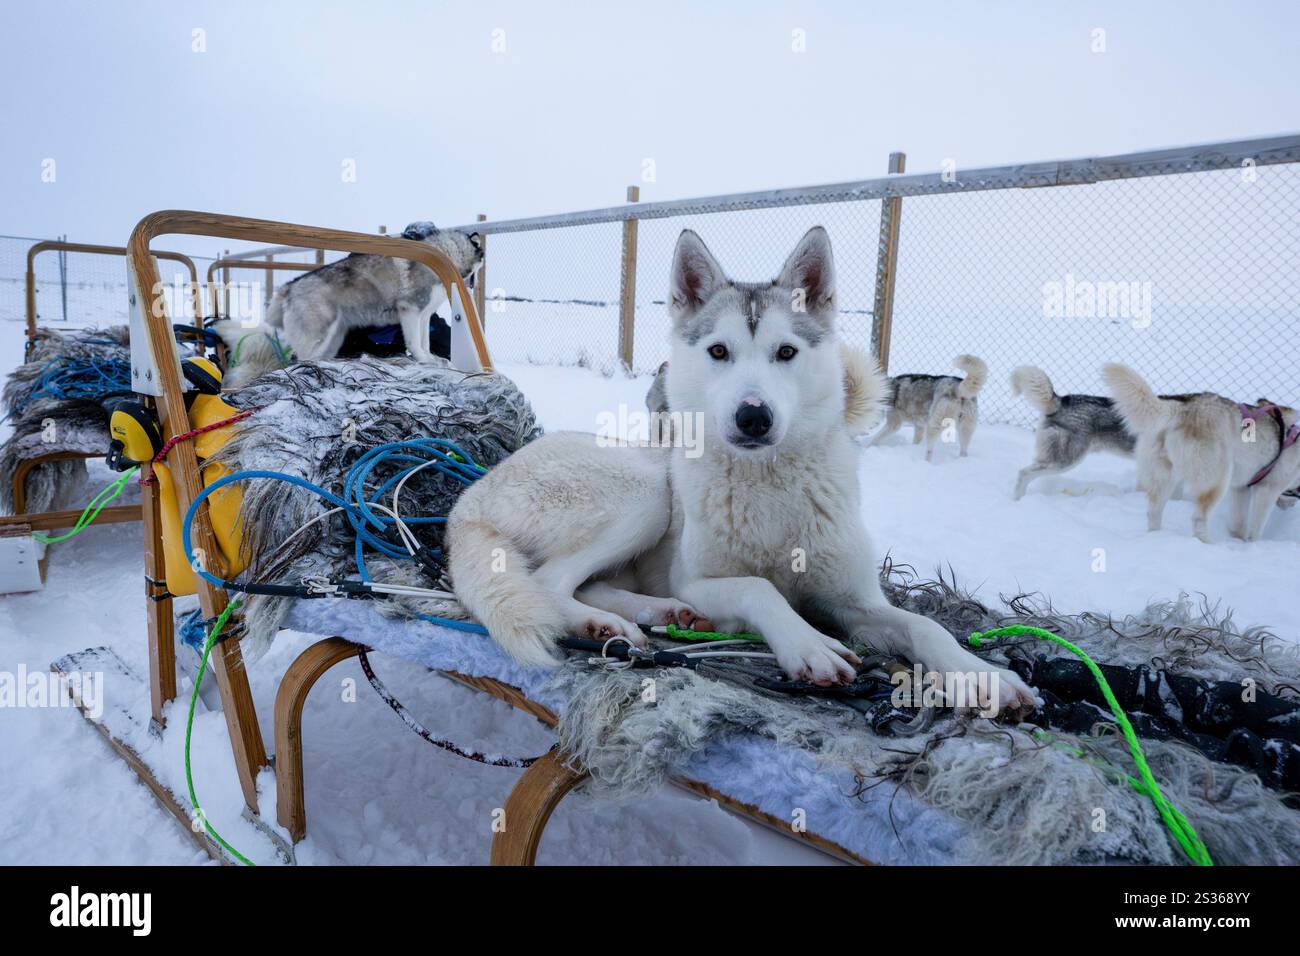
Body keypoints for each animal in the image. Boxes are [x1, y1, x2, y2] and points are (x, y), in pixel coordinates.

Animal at [213, 222, 483, 387]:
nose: (475, 284)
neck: (447, 252)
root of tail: (289, 287)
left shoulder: (424, 315)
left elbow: (424, 343)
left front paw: (430, 359)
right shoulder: (410, 310)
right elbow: (415, 344)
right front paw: (424, 360)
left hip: (333, 338)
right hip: (318, 335)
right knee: (298, 360)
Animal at [452, 227, 1040, 712]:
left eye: (786, 352)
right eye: (719, 351)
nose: (753, 416)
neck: (770, 488)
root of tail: (467, 502)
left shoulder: (856, 602)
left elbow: (925, 627)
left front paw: (980, 675)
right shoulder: (700, 581)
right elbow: (762, 588)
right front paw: (809, 644)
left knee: (588, 583)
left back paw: (655, 614)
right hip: (647, 495)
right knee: (550, 582)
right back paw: (607, 623)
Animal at [1102, 364, 1300, 546]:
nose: (1291, 505)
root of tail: (1178, 408)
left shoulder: (1240, 488)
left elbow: (1238, 524)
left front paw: (1238, 541)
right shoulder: (1267, 490)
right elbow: (1256, 528)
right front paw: (1252, 545)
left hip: (1165, 479)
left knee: (1153, 511)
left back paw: (1155, 537)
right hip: (1216, 481)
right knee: (1198, 517)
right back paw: (1207, 544)